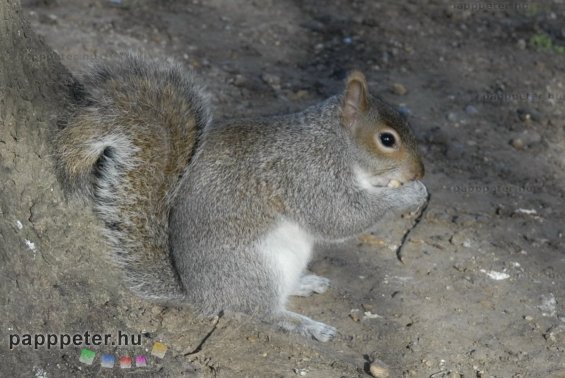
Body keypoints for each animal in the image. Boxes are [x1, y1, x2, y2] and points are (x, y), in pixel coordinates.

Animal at [56, 54, 428, 342]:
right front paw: (408, 195)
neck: (335, 142)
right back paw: (304, 324)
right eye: (387, 139)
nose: (419, 171)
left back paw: (305, 283)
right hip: (257, 268)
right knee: (260, 311)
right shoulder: (307, 174)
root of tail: (198, 294)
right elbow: (338, 217)